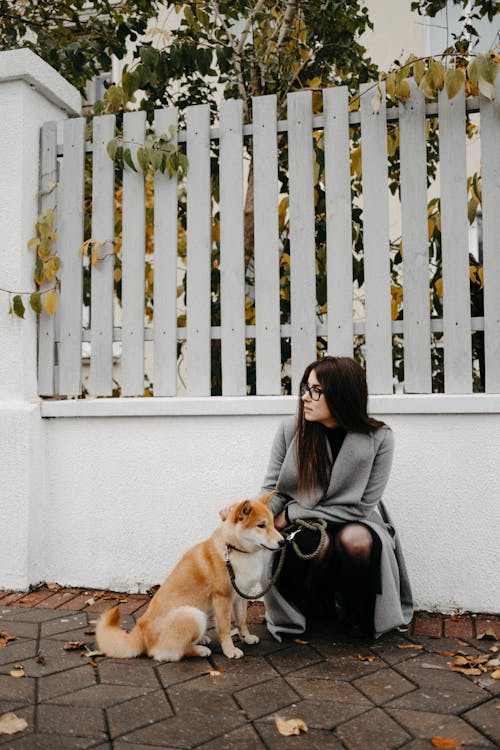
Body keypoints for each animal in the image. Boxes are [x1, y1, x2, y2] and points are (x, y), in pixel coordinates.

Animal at [95, 494, 284, 664]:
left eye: (273, 523)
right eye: (261, 525)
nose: (283, 542)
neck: (235, 550)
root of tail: (140, 632)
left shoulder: (241, 595)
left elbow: (242, 621)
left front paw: (247, 638)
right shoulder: (223, 598)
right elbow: (224, 629)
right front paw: (230, 650)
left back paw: (201, 640)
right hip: (193, 615)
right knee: (168, 652)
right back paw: (200, 650)